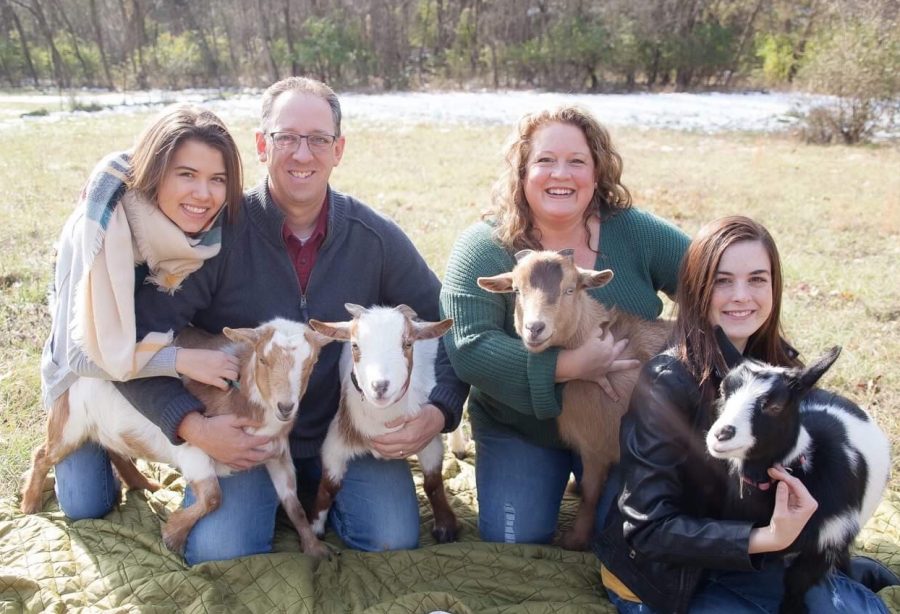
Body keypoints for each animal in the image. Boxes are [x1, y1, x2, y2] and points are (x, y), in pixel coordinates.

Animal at [22, 320, 334, 560]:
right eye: (263, 359)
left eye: (311, 363)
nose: (285, 407)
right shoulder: (195, 447)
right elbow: (213, 497)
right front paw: (173, 535)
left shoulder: (278, 455)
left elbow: (294, 504)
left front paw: (315, 549)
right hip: (70, 423)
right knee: (42, 454)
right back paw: (30, 504)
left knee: (114, 450)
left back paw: (145, 484)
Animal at [310, 306, 460, 548]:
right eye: (355, 345)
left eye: (408, 344)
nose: (380, 386)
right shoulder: (336, 441)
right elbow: (328, 487)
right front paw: (314, 529)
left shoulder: (427, 437)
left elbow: (433, 483)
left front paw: (446, 526)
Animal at [482, 251, 672, 552]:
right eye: (516, 290)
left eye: (569, 289)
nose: (535, 328)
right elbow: (589, 488)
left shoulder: (598, 442)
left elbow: (592, 491)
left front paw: (575, 539)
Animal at [712, 346, 892, 614]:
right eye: (724, 391)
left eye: (776, 406)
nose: (721, 435)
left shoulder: (829, 540)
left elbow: (797, 580)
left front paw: (792, 608)